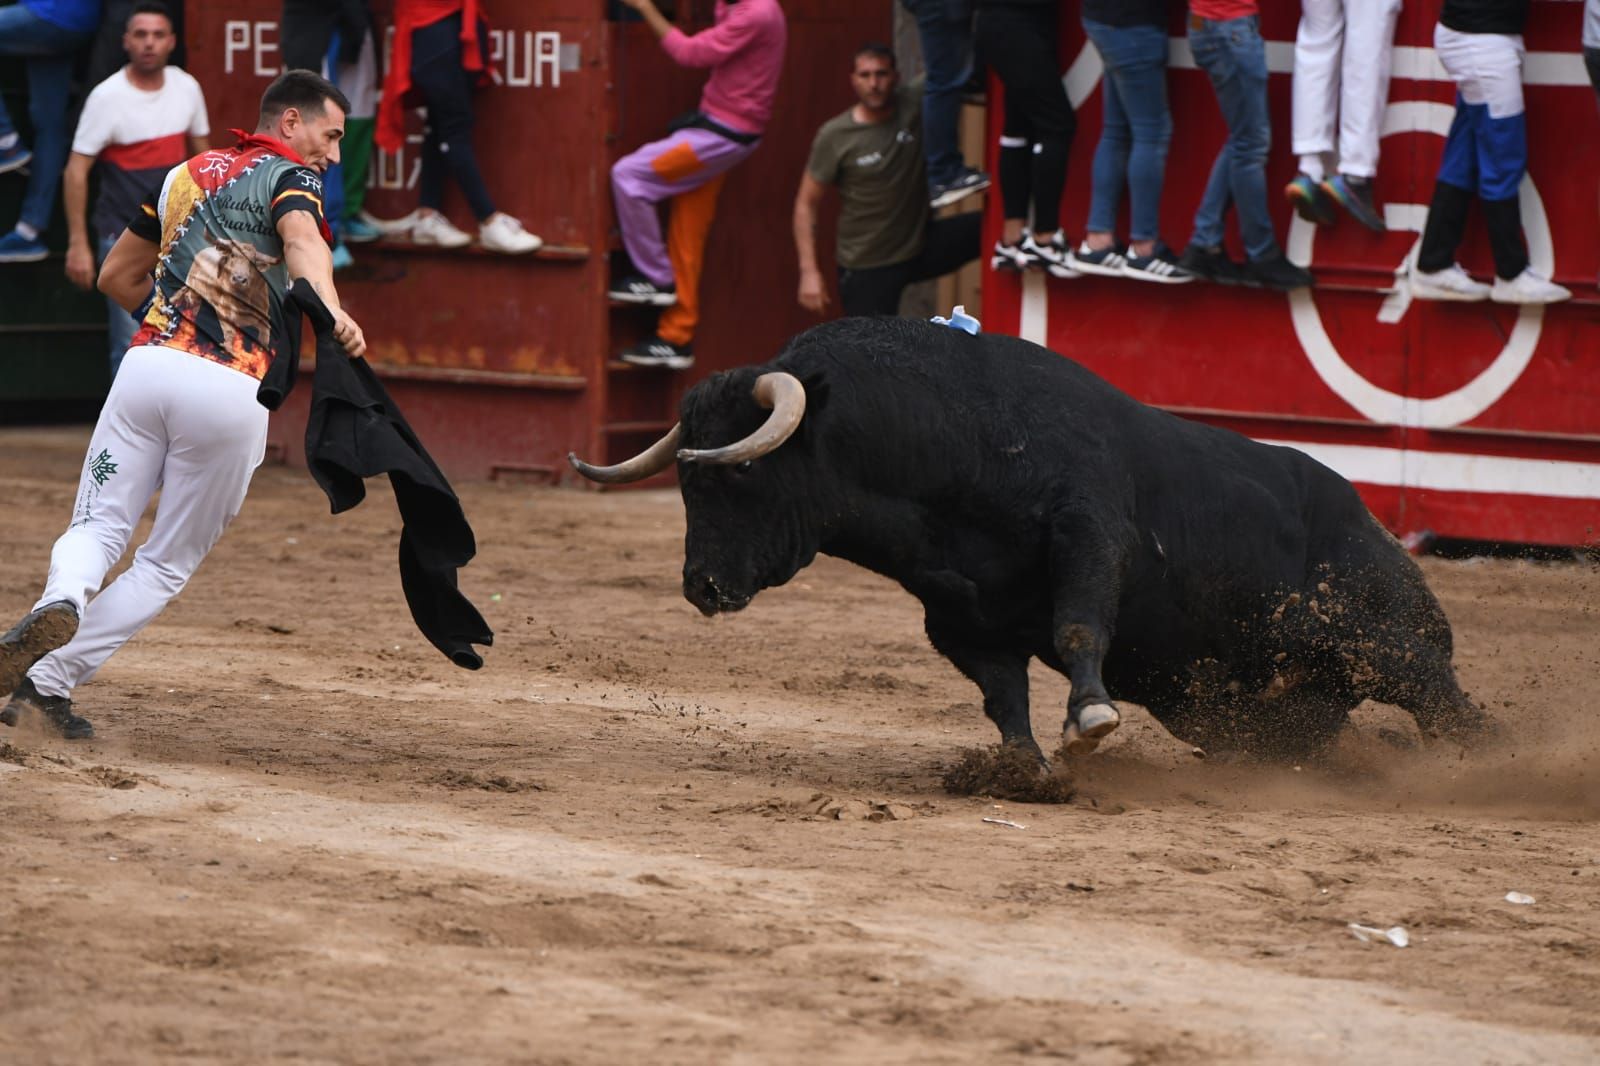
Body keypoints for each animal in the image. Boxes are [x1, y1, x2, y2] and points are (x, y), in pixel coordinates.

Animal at [572, 320, 1484, 758]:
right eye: (686, 482)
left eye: (738, 476)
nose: (701, 586)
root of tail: (1369, 521)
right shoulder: (958, 617)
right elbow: (1002, 695)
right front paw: (1023, 766)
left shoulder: (1090, 535)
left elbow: (1079, 627)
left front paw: (1091, 718)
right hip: (1255, 714)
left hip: (1389, 650)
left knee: (1454, 710)